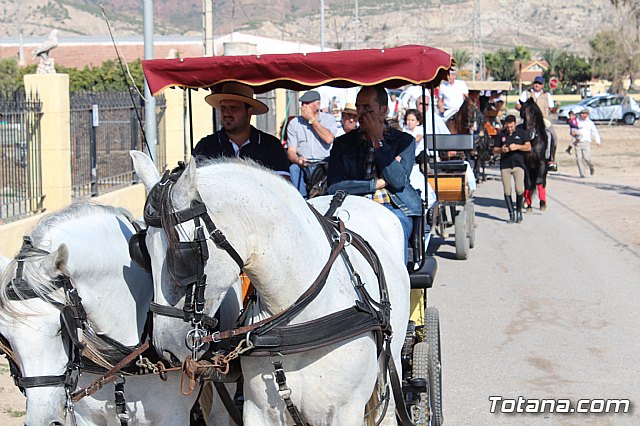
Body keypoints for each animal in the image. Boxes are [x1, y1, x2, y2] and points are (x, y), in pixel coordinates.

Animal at [131, 151, 410, 424]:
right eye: (142, 252)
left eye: (183, 257)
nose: (164, 348)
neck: (298, 318)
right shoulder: (259, 411)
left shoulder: (345, 412)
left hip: (391, 365)